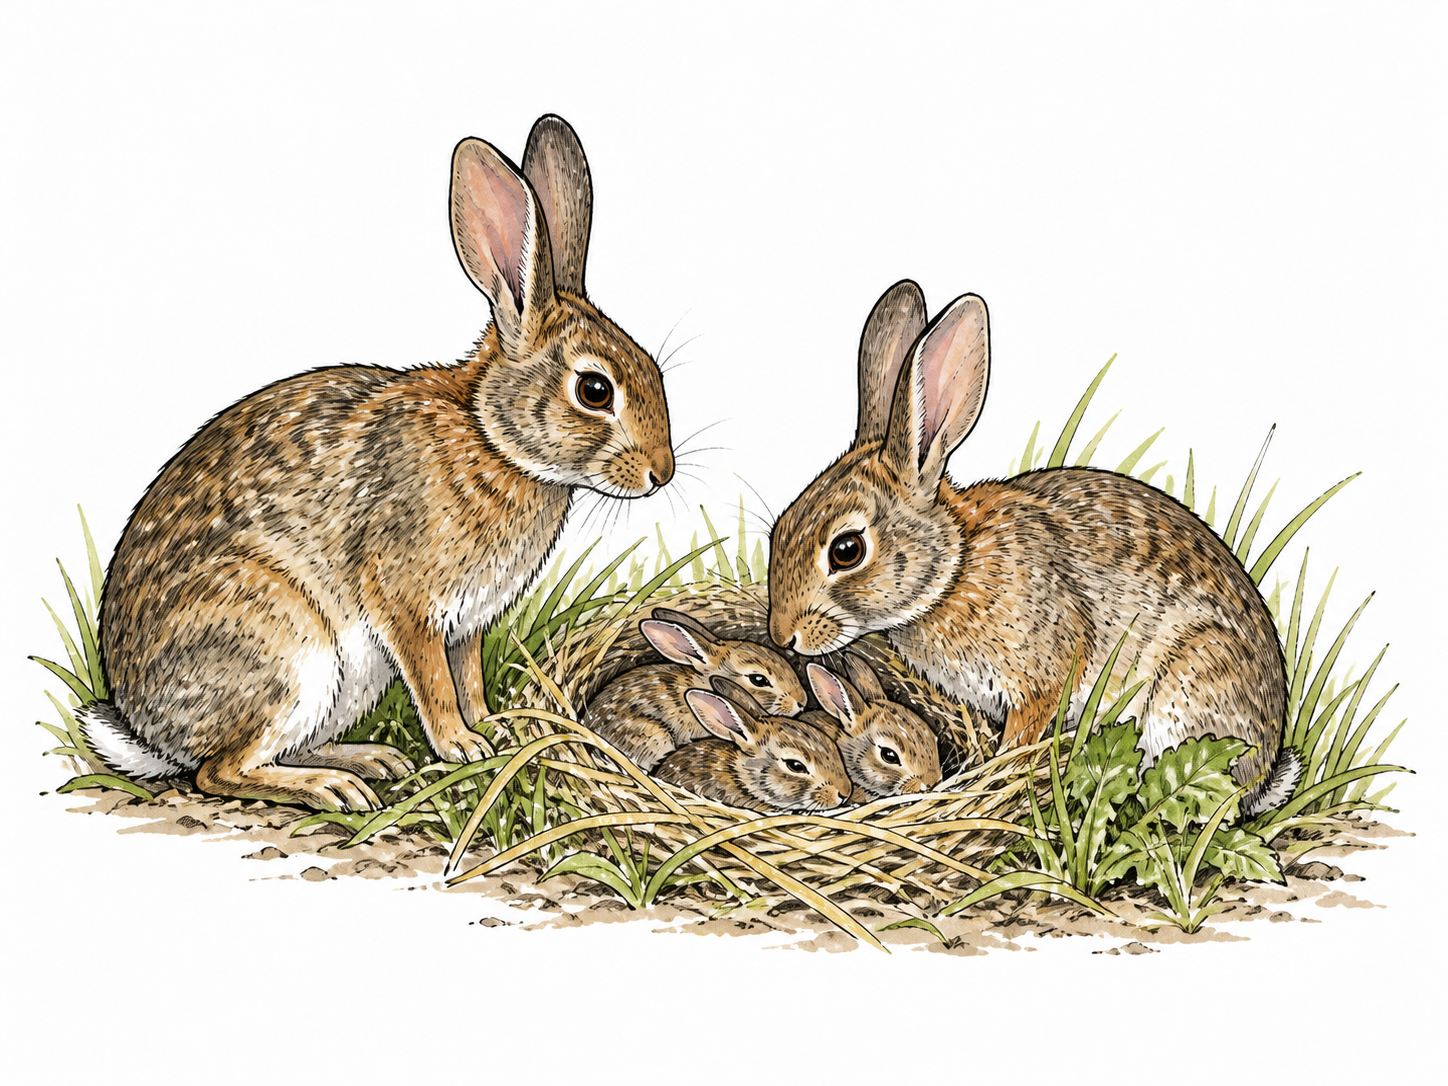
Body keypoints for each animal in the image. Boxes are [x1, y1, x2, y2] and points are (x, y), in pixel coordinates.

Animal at [78, 115, 674, 811]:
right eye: (595, 391)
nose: (661, 473)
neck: (491, 438)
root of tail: (145, 728)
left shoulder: (469, 623)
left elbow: (469, 676)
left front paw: (494, 729)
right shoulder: (407, 604)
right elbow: (434, 683)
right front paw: (462, 747)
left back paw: (369, 760)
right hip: (286, 650)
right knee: (218, 771)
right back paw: (334, 787)